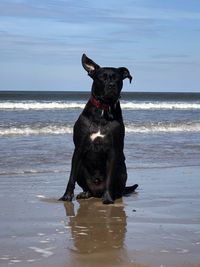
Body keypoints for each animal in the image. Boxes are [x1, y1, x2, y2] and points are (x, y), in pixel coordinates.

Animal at [59, 54, 138, 205]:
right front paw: (66, 196)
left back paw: (115, 195)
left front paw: (108, 198)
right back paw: (85, 193)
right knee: (86, 186)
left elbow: (109, 179)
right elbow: (71, 177)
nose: (112, 85)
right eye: (102, 77)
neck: (103, 109)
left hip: (122, 169)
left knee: (118, 186)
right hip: (82, 170)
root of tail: (96, 191)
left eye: (118, 78)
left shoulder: (113, 151)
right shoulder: (78, 149)